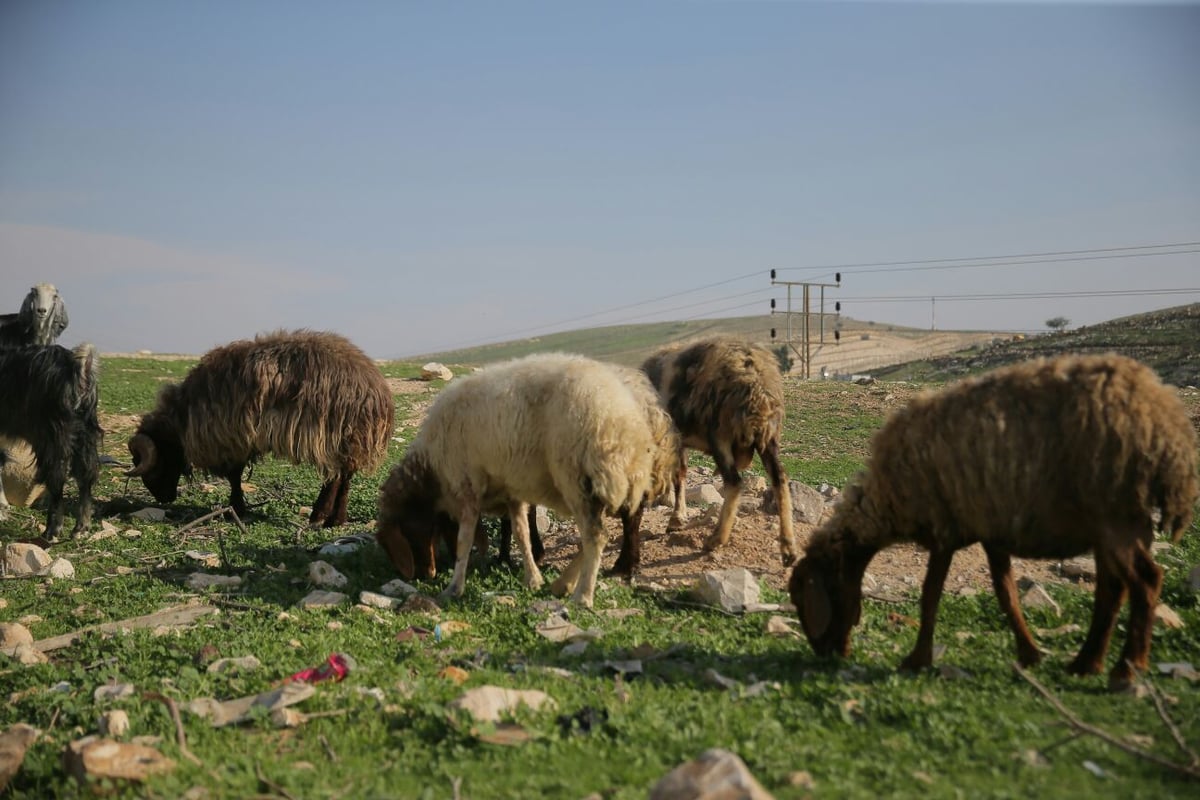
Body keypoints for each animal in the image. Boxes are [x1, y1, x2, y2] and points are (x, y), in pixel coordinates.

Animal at [0, 340, 100, 542]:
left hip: (50, 435)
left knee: (57, 478)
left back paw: (52, 531)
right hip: (85, 432)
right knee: (85, 475)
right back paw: (81, 529)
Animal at [129, 328, 396, 527]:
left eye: (154, 461)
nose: (164, 498)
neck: (182, 419)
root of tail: (378, 392)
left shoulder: (230, 440)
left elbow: (234, 476)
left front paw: (236, 508)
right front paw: (238, 507)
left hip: (332, 438)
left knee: (335, 479)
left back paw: (319, 516)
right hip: (350, 441)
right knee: (344, 479)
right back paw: (335, 519)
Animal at [376, 352, 667, 609]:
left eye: (408, 532)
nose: (424, 575)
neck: (431, 469)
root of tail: (628, 428)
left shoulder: (468, 484)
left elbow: (464, 541)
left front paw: (454, 587)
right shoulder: (511, 492)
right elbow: (521, 533)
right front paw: (533, 578)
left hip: (577, 475)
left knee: (596, 535)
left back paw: (583, 596)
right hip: (598, 482)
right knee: (598, 532)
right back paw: (563, 584)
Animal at [638, 335, 796, 563]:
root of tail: (757, 381)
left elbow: (676, 476)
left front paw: (675, 518)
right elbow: (680, 474)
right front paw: (677, 516)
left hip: (720, 434)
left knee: (734, 482)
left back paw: (716, 539)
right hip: (769, 437)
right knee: (780, 479)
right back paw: (788, 547)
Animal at [787, 352, 1200, 690]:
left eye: (807, 597)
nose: (825, 654)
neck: (887, 500)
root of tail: (1167, 423)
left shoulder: (945, 528)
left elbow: (930, 596)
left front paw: (916, 660)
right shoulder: (991, 531)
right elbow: (1007, 595)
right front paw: (1029, 653)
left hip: (1118, 516)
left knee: (1146, 581)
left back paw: (1126, 669)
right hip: (1114, 524)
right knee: (1111, 590)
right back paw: (1086, 663)